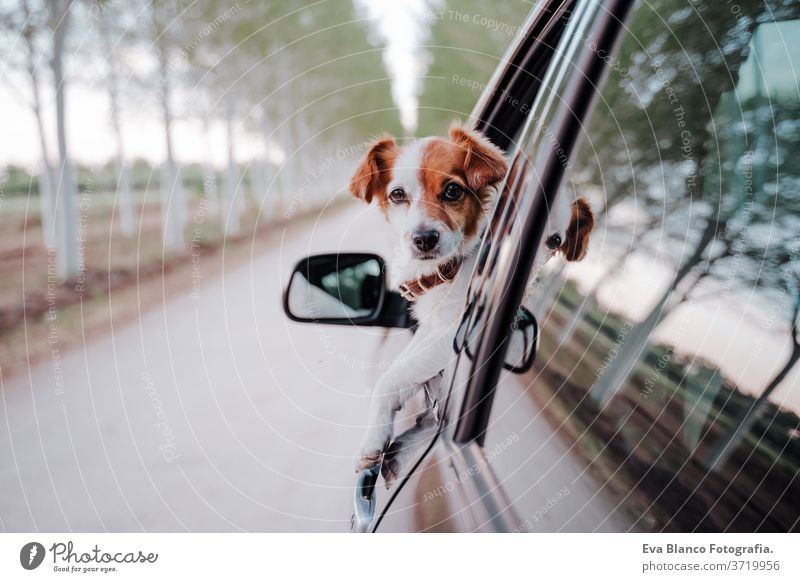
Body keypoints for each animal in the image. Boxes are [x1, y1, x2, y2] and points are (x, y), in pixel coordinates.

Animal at [350, 125, 592, 486]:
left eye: (453, 191)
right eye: (397, 195)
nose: (424, 239)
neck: (450, 270)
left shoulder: (452, 334)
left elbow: (391, 378)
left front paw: (375, 440)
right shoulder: (434, 331)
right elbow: (403, 370)